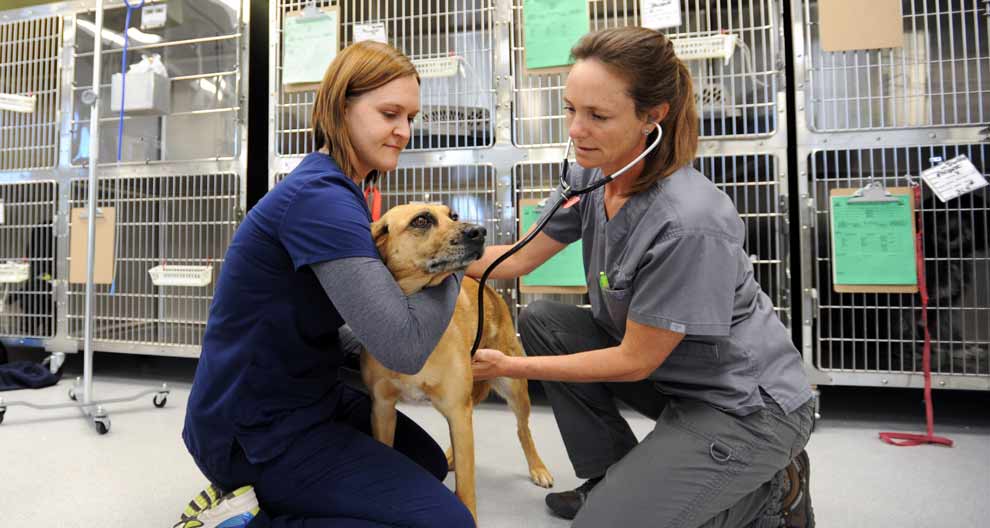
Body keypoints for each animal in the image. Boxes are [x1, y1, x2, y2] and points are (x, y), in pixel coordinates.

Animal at [360, 204, 556, 520]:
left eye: (453, 216)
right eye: (421, 220)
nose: (479, 231)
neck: (412, 322)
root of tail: (491, 291)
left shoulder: (456, 408)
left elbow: (466, 487)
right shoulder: (383, 408)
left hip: (513, 386)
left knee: (522, 429)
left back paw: (537, 468)